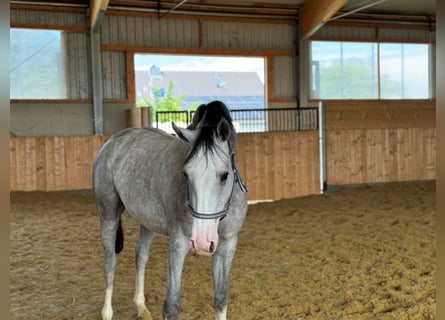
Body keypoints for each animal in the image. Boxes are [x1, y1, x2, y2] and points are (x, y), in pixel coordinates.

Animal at [92, 100, 248, 320]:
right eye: (185, 174)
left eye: (224, 175)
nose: (202, 241)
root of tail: (113, 141)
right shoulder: (178, 244)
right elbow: (172, 306)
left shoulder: (227, 245)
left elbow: (220, 298)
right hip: (108, 214)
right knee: (110, 262)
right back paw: (107, 312)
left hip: (147, 222)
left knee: (141, 256)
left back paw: (141, 306)